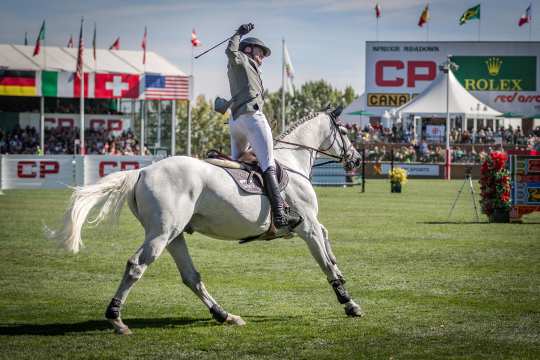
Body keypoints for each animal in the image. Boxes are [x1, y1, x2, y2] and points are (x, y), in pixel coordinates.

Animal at [48, 108, 364, 334]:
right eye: (344, 130)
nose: (357, 159)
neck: (292, 163)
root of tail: (142, 171)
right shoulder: (306, 226)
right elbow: (325, 264)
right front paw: (349, 303)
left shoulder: (311, 225)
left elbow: (328, 244)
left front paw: (340, 271)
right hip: (161, 234)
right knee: (136, 266)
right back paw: (116, 319)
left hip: (174, 235)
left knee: (191, 277)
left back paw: (225, 315)